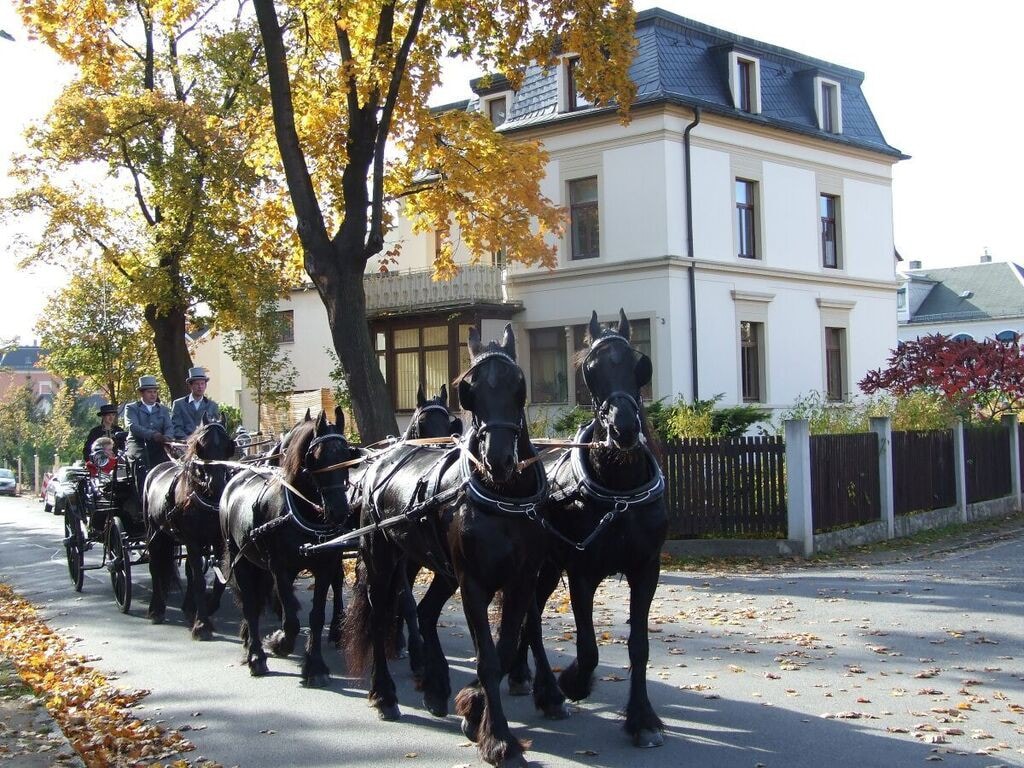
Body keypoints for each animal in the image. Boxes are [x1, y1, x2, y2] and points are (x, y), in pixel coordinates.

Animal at [143, 417, 234, 638]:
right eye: (200, 446)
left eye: (228, 445)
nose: (216, 484)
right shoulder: (193, 542)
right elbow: (200, 581)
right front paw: (202, 626)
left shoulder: (219, 542)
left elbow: (218, 580)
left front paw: (207, 609)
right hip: (154, 533)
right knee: (155, 566)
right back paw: (156, 609)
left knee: (188, 570)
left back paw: (188, 608)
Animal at [218, 409, 358, 684]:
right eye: (316, 457)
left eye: (346, 456)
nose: (339, 511)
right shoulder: (280, 568)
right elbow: (291, 619)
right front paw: (279, 642)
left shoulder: (324, 566)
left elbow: (316, 616)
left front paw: (315, 666)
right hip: (240, 559)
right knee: (250, 605)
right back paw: (256, 655)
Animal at [344, 325, 552, 768]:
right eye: (468, 390)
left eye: (519, 385)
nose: (498, 459)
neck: (503, 496)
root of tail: (377, 461)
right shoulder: (473, 582)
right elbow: (488, 658)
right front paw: (499, 740)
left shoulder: (521, 580)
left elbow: (504, 650)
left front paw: (473, 709)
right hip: (384, 559)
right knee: (379, 616)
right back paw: (384, 695)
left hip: (433, 567)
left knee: (423, 612)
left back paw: (437, 686)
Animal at [507, 309, 667, 749]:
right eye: (590, 371)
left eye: (639, 365)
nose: (624, 428)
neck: (619, 492)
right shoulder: (581, 572)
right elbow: (589, 646)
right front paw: (575, 681)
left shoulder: (646, 569)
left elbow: (639, 646)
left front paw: (642, 718)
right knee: (530, 618)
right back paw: (547, 690)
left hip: (547, 569)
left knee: (530, 613)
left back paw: (521, 675)